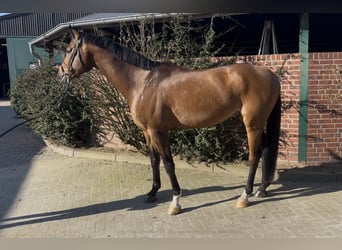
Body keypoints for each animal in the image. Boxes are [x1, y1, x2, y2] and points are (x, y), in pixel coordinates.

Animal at [58, 28, 280, 214]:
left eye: (69, 49)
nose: (60, 73)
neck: (143, 81)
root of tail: (268, 73)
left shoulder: (158, 131)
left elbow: (168, 164)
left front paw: (175, 202)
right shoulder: (147, 132)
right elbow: (154, 161)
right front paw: (152, 193)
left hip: (252, 124)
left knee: (254, 156)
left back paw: (245, 196)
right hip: (259, 123)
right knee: (265, 149)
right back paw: (262, 189)